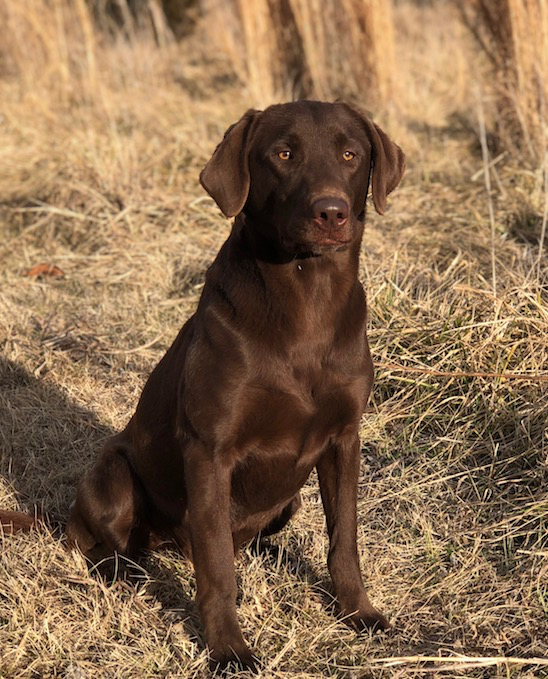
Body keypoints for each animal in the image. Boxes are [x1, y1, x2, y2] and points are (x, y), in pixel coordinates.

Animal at [2, 101, 404, 668]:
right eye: (284, 154)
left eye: (351, 154)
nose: (332, 212)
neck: (308, 300)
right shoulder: (209, 450)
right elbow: (216, 568)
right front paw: (229, 649)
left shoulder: (344, 440)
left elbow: (343, 538)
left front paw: (359, 613)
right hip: (113, 475)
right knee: (97, 542)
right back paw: (122, 573)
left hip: (288, 499)